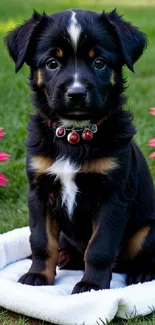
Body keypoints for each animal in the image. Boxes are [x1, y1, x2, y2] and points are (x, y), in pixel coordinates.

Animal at [5, 8, 155, 294]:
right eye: (52, 63)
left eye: (100, 63)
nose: (76, 94)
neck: (74, 135)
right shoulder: (39, 191)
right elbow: (41, 240)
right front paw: (38, 276)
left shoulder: (112, 195)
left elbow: (100, 248)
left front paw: (92, 285)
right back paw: (65, 258)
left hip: (146, 228)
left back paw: (141, 273)